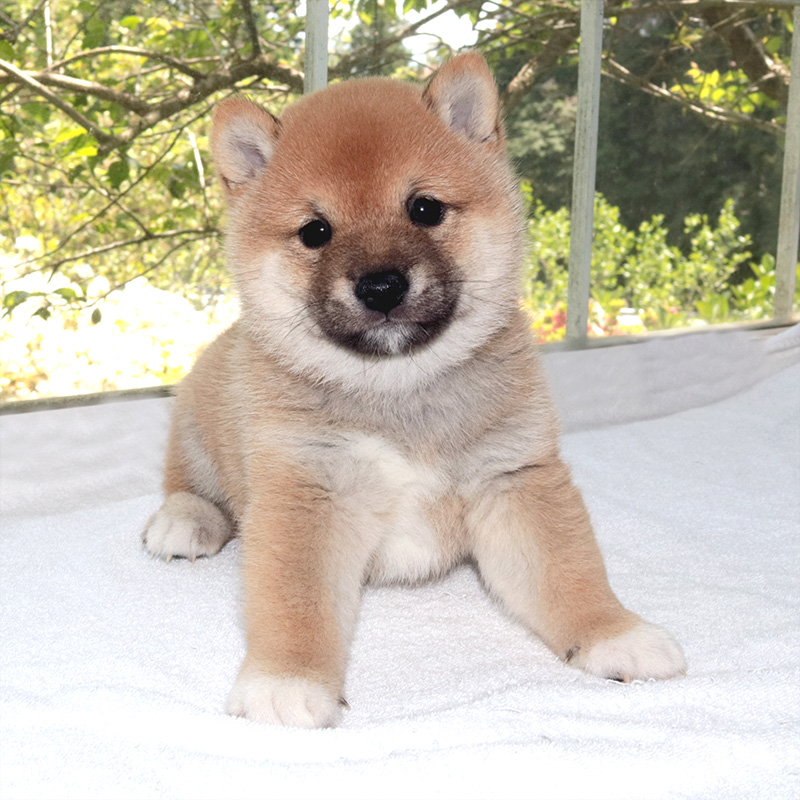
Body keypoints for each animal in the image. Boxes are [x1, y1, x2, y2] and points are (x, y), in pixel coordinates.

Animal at [141, 48, 684, 724]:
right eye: (315, 232)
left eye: (424, 208)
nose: (380, 286)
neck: (399, 389)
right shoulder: (307, 494)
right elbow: (296, 603)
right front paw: (286, 680)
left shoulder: (512, 482)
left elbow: (568, 571)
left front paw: (615, 633)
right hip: (197, 423)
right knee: (187, 484)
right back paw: (185, 521)